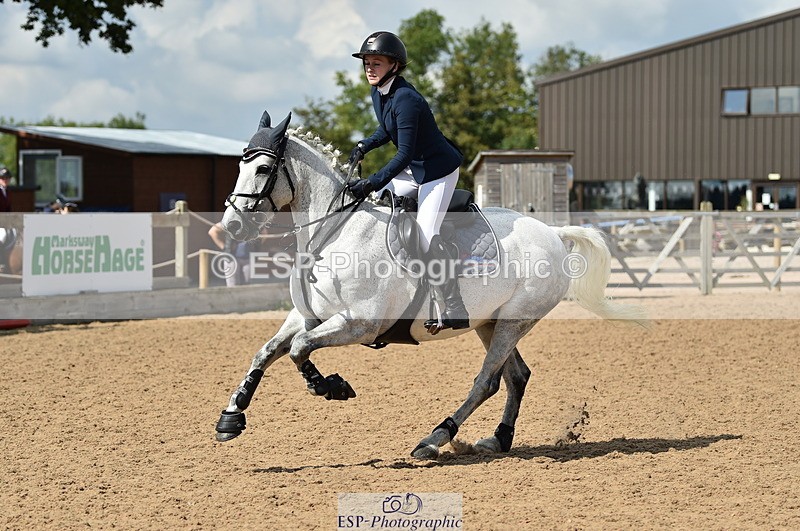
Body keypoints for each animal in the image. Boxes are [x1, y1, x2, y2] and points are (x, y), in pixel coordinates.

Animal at [214, 111, 648, 459]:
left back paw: (434, 439)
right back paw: (498, 439)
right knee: (516, 376)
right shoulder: (307, 316)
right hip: (491, 321)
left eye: (264, 170)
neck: (332, 232)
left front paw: (331, 387)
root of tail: (554, 233)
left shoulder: (359, 323)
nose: (231, 227)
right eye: (239, 167)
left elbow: (299, 349)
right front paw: (231, 417)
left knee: (486, 381)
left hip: (515, 321)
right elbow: (267, 351)